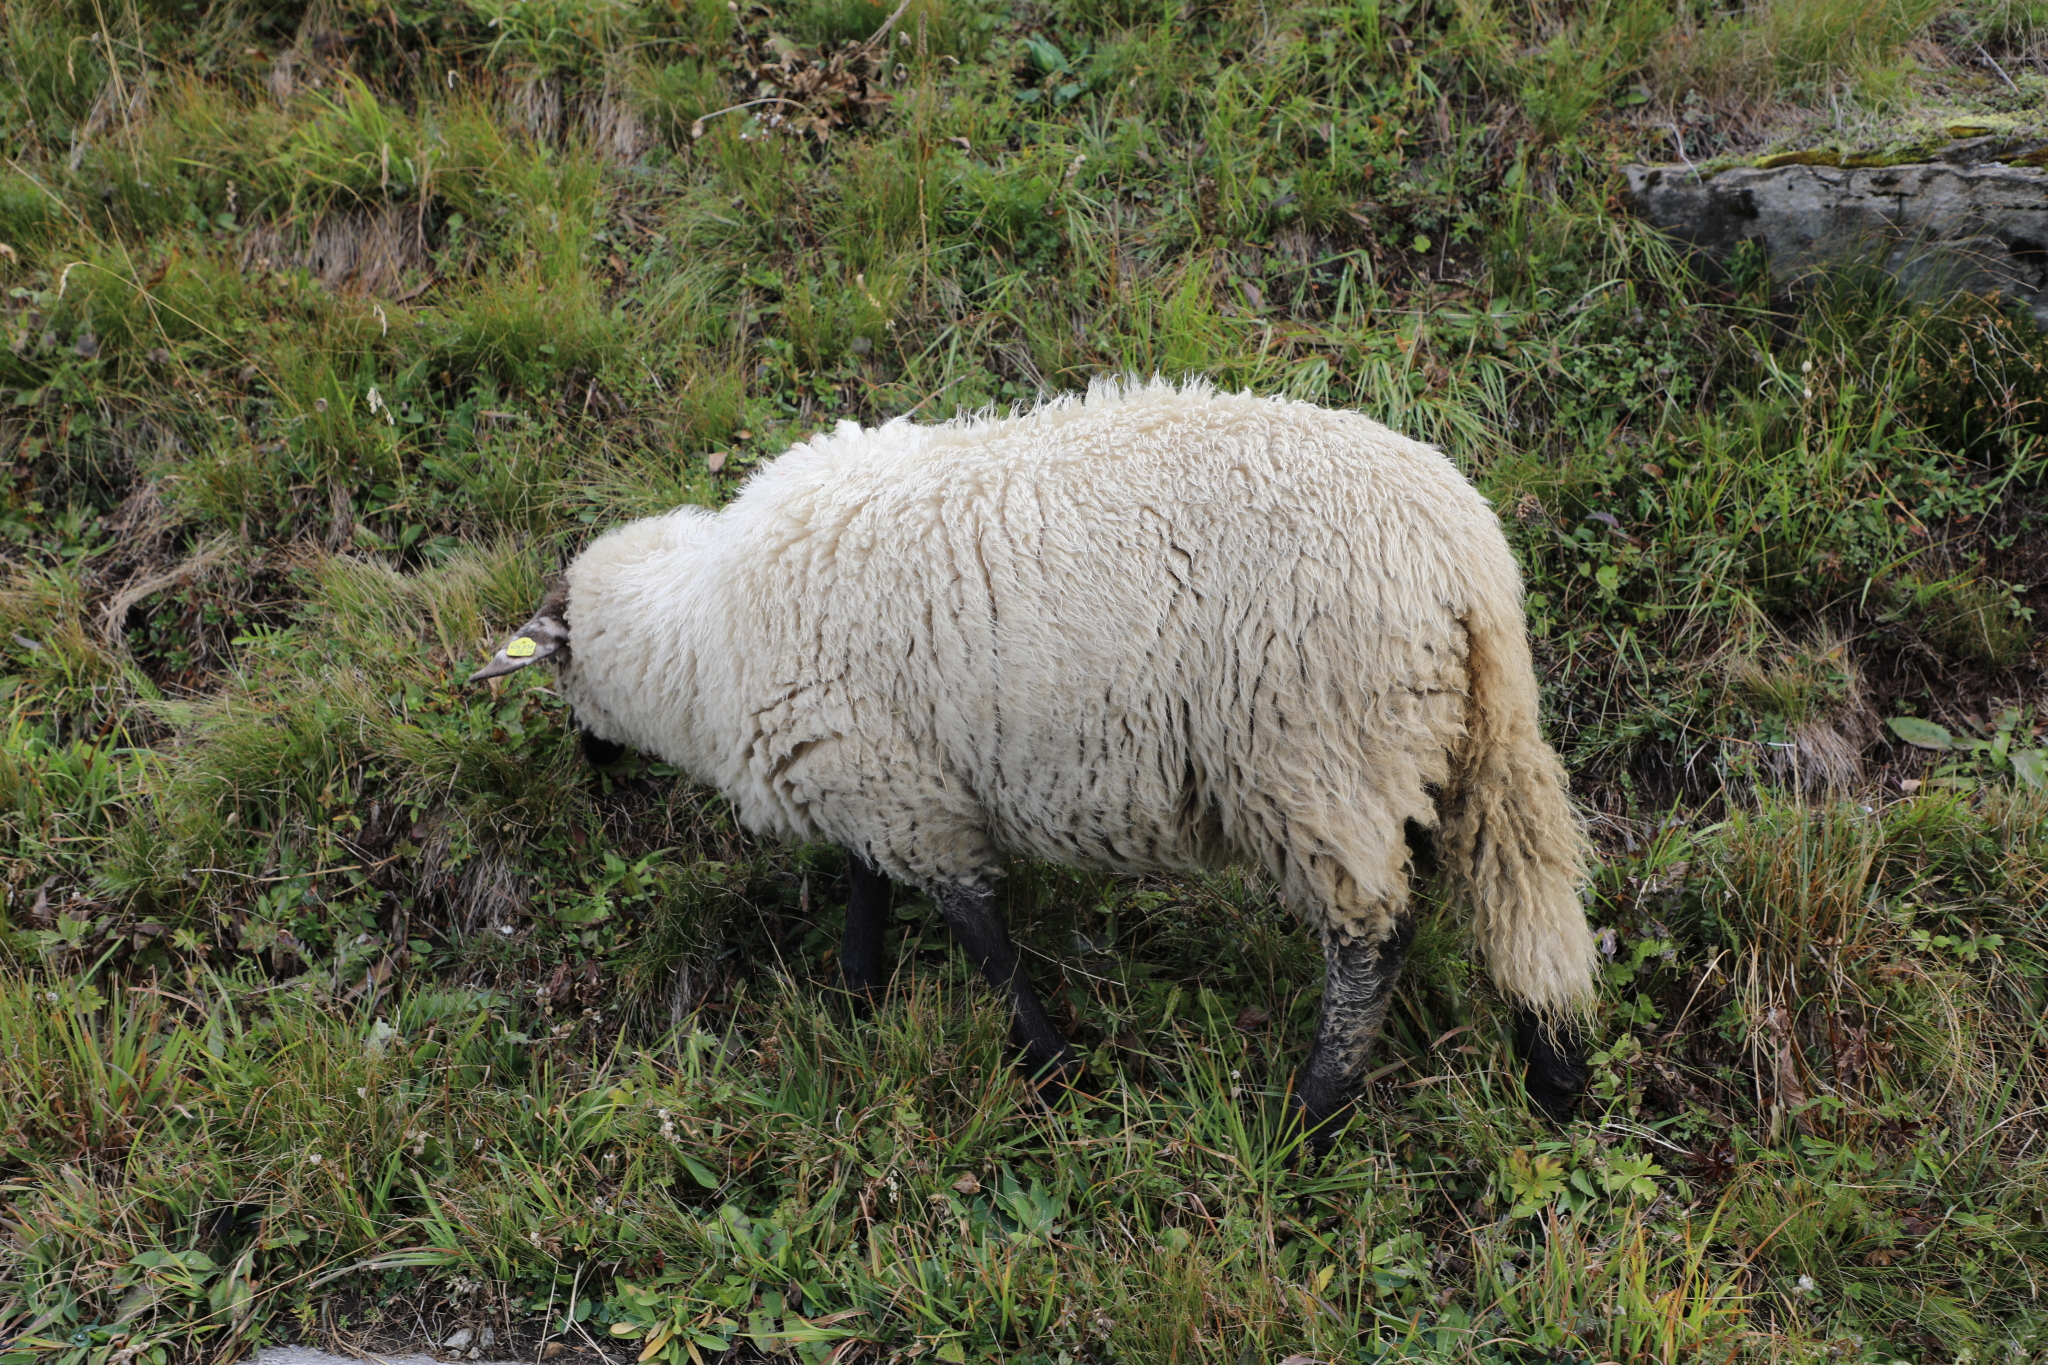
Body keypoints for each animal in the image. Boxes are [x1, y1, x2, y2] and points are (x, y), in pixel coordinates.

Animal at [475, 378, 1597, 1137]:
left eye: (558, 676)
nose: (589, 764)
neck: (697, 634)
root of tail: (1464, 555)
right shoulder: (876, 782)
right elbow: (865, 890)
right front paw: (855, 1000)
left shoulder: (900, 795)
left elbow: (980, 936)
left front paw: (1054, 1067)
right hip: (1450, 731)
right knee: (1515, 883)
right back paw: (1554, 1074)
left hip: (1315, 752)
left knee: (1376, 935)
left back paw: (1311, 1111)